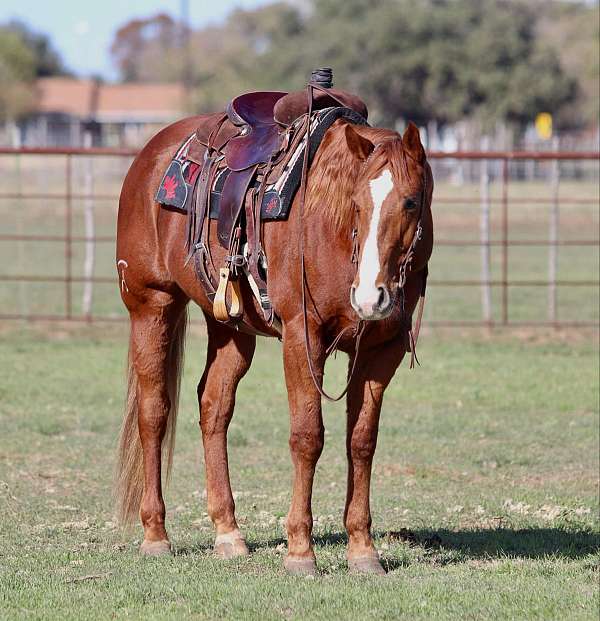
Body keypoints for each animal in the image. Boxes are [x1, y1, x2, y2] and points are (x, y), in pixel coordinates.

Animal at [113, 114, 432, 572]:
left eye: (409, 202)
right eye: (356, 203)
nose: (372, 296)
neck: (329, 230)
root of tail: (150, 155)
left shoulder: (379, 351)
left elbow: (361, 442)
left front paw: (363, 548)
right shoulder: (302, 338)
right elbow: (307, 437)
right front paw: (300, 551)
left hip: (230, 328)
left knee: (214, 407)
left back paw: (228, 532)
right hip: (151, 305)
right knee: (153, 412)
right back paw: (156, 534)